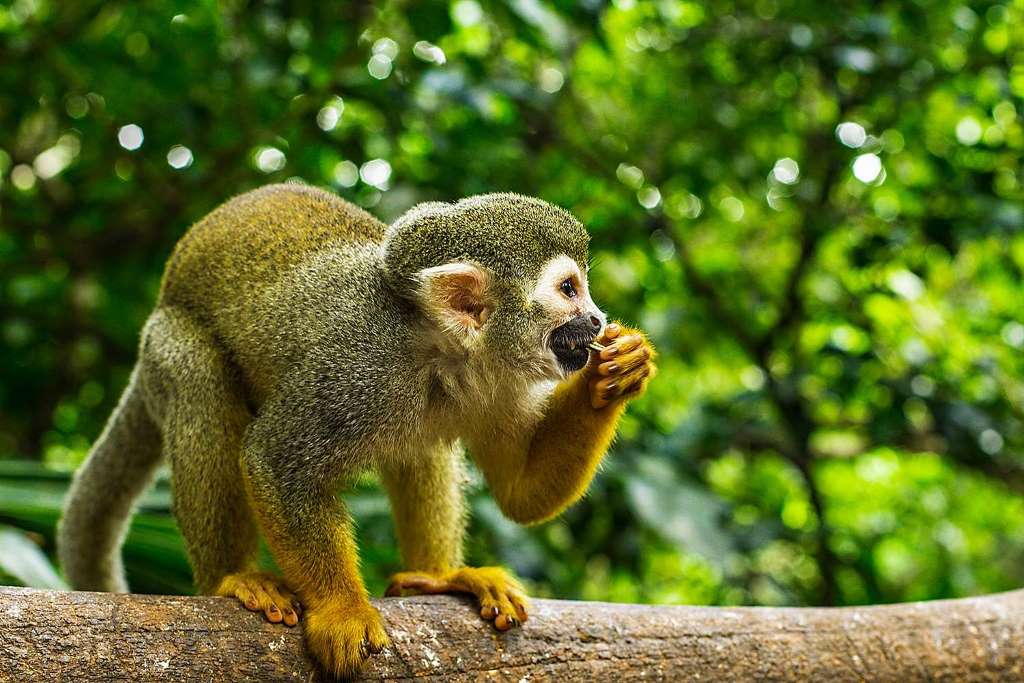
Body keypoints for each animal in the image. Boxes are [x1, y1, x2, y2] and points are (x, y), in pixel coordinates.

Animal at [58, 183, 656, 678]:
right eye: (569, 289)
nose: (597, 321)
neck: (441, 352)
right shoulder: (355, 368)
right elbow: (275, 459)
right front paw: (342, 609)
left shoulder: (504, 383)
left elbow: (520, 494)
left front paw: (615, 373)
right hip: (165, 342)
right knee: (198, 378)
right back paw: (232, 578)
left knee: (423, 447)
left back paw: (440, 575)